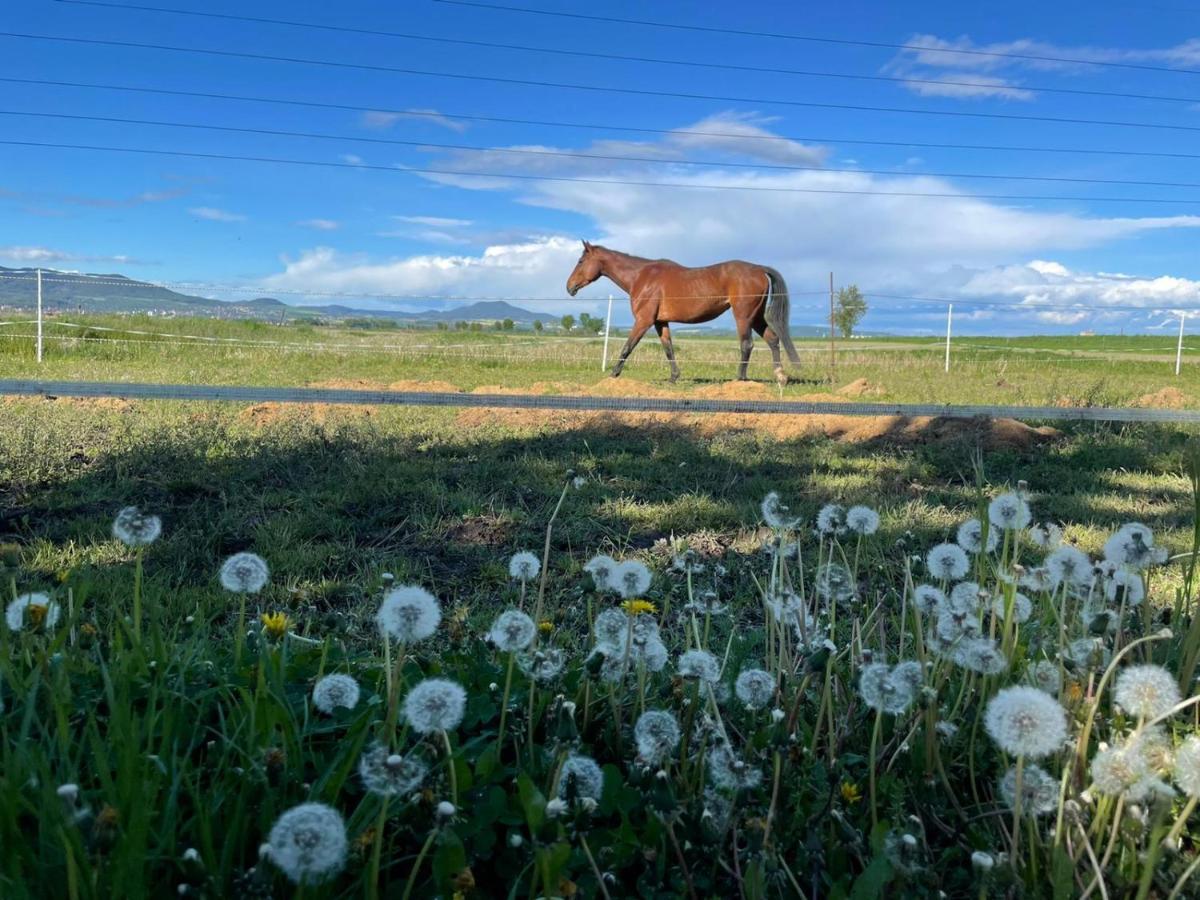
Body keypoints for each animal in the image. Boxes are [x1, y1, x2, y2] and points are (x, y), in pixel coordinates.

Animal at [564, 240, 806, 384]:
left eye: (581, 261)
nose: (569, 287)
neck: (641, 276)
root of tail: (758, 268)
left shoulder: (643, 320)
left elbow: (628, 346)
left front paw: (614, 374)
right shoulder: (660, 322)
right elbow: (668, 349)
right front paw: (674, 378)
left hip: (743, 316)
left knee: (747, 345)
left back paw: (740, 378)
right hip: (756, 317)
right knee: (773, 339)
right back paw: (781, 376)